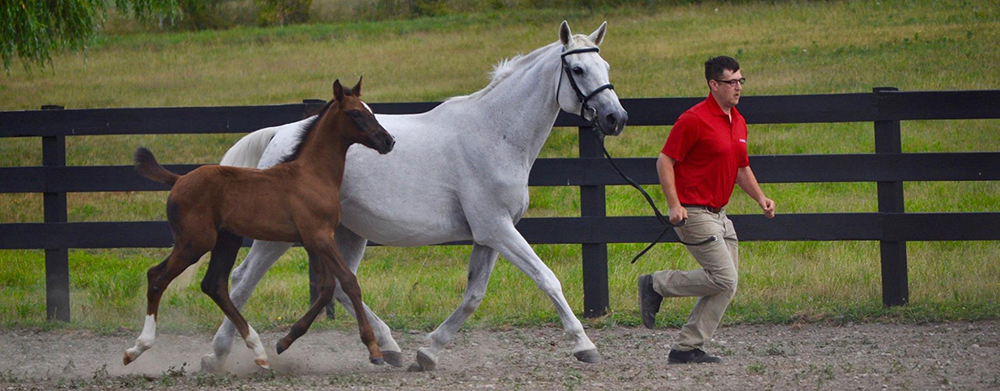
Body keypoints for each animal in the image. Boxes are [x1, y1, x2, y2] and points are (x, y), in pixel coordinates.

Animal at [122, 78, 394, 370]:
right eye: (355, 113)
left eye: (370, 110)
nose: (388, 141)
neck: (312, 175)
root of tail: (179, 179)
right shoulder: (320, 237)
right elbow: (349, 282)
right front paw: (374, 349)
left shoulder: (314, 240)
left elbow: (326, 288)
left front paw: (285, 341)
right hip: (195, 242)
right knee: (157, 277)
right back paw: (137, 348)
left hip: (225, 240)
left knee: (213, 285)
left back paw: (259, 350)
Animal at [200, 22, 628, 374]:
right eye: (577, 70)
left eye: (605, 67)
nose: (615, 118)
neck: (496, 133)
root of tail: (281, 134)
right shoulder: (497, 229)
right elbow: (548, 279)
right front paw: (584, 346)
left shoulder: (490, 235)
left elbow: (473, 295)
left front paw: (428, 353)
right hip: (279, 236)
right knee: (242, 279)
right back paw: (219, 356)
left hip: (348, 232)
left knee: (339, 286)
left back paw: (389, 348)